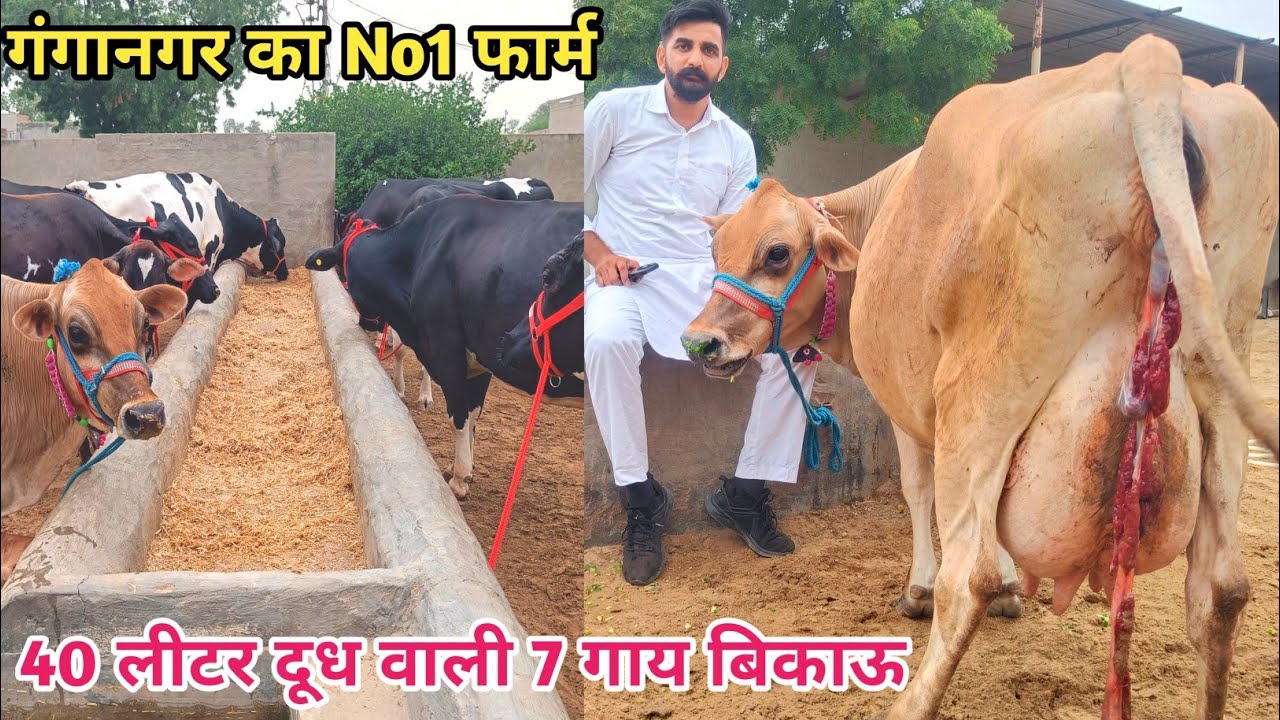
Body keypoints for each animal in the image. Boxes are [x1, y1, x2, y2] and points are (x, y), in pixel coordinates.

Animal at [306, 196, 584, 499]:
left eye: (347, 272)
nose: (368, 324)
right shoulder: (480, 357)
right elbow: (474, 413)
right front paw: (465, 467)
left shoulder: (446, 349)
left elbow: (459, 417)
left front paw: (459, 478)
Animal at [681, 36, 1278, 719]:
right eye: (716, 250)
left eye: (777, 253)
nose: (699, 340)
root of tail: (1145, 57)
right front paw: (1019, 587)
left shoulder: (905, 404)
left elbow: (918, 492)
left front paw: (917, 589)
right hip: (1220, 391)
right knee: (1221, 588)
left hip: (982, 392)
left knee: (967, 578)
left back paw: (911, 700)